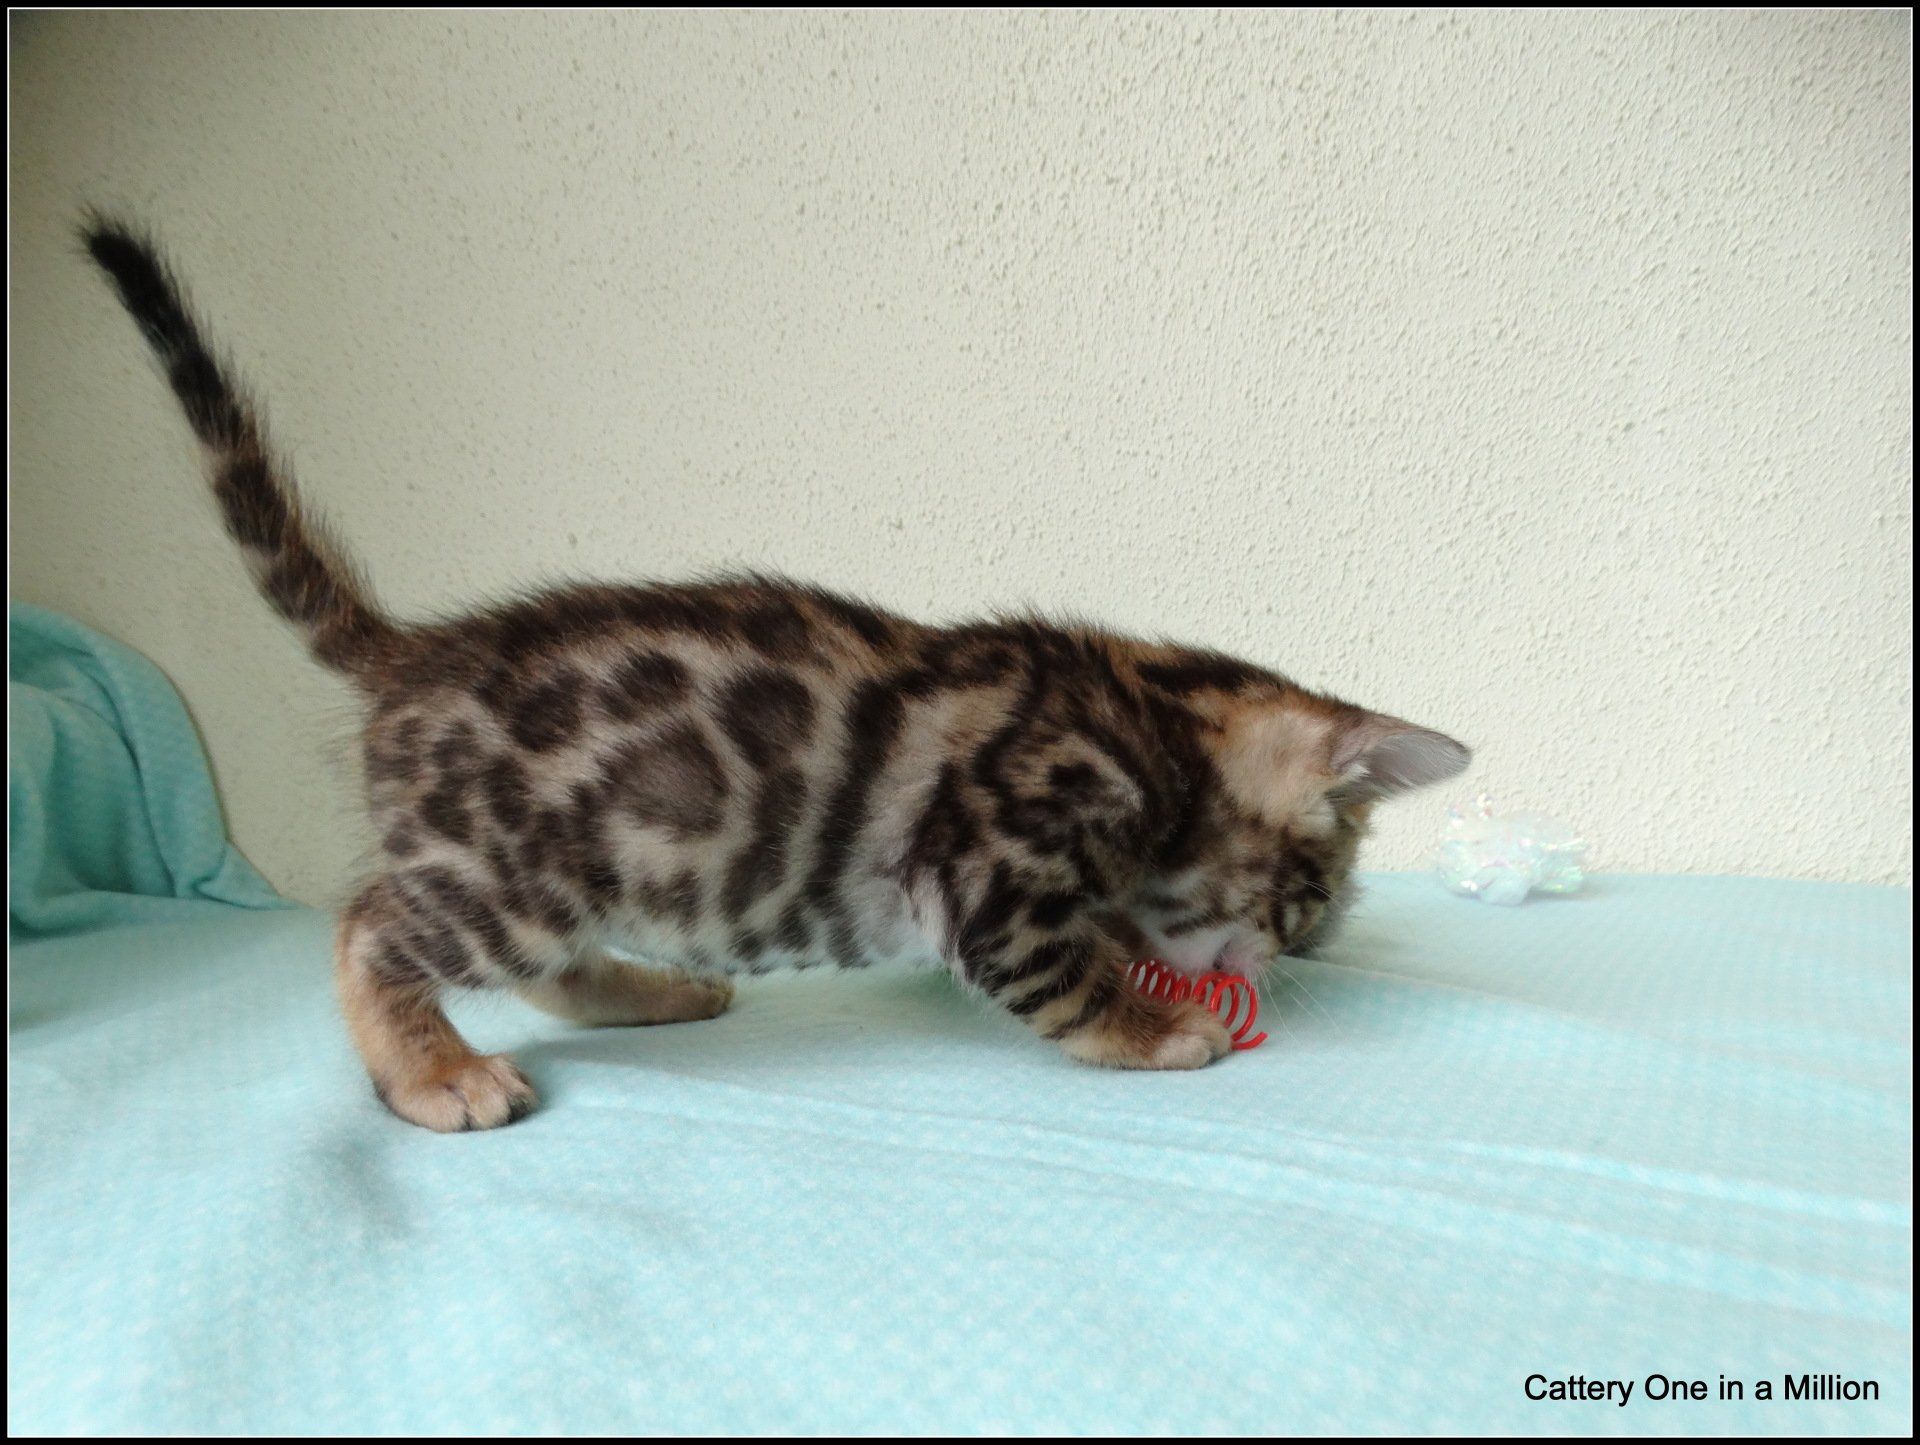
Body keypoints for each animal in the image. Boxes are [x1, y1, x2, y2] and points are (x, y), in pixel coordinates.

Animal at [83, 216, 1471, 1132]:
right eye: (1312, 895)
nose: (1306, 951)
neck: (1150, 708)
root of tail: (416, 650)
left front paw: (1143, 964)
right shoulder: (989, 867)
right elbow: (1057, 976)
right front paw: (1157, 1023)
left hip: (573, 871)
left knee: (543, 964)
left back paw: (646, 993)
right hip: (509, 869)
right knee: (372, 926)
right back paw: (433, 1069)